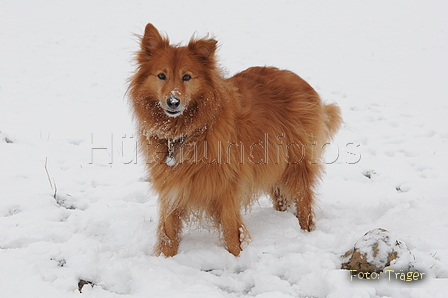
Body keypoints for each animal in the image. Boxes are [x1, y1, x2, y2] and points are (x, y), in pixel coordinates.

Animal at [128, 23, 342, 256]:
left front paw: (236, 257)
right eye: (161, 75)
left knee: (304, 202)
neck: (185, 133)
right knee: (282, 196)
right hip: (274, 161)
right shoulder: (172, 190)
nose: (173, 102)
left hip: (296, 163)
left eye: (186, 77)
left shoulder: (226, 189)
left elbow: (231, 232)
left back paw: (306, 231)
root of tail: (297, 79)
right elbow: (169, 234)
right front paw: (167, 260)